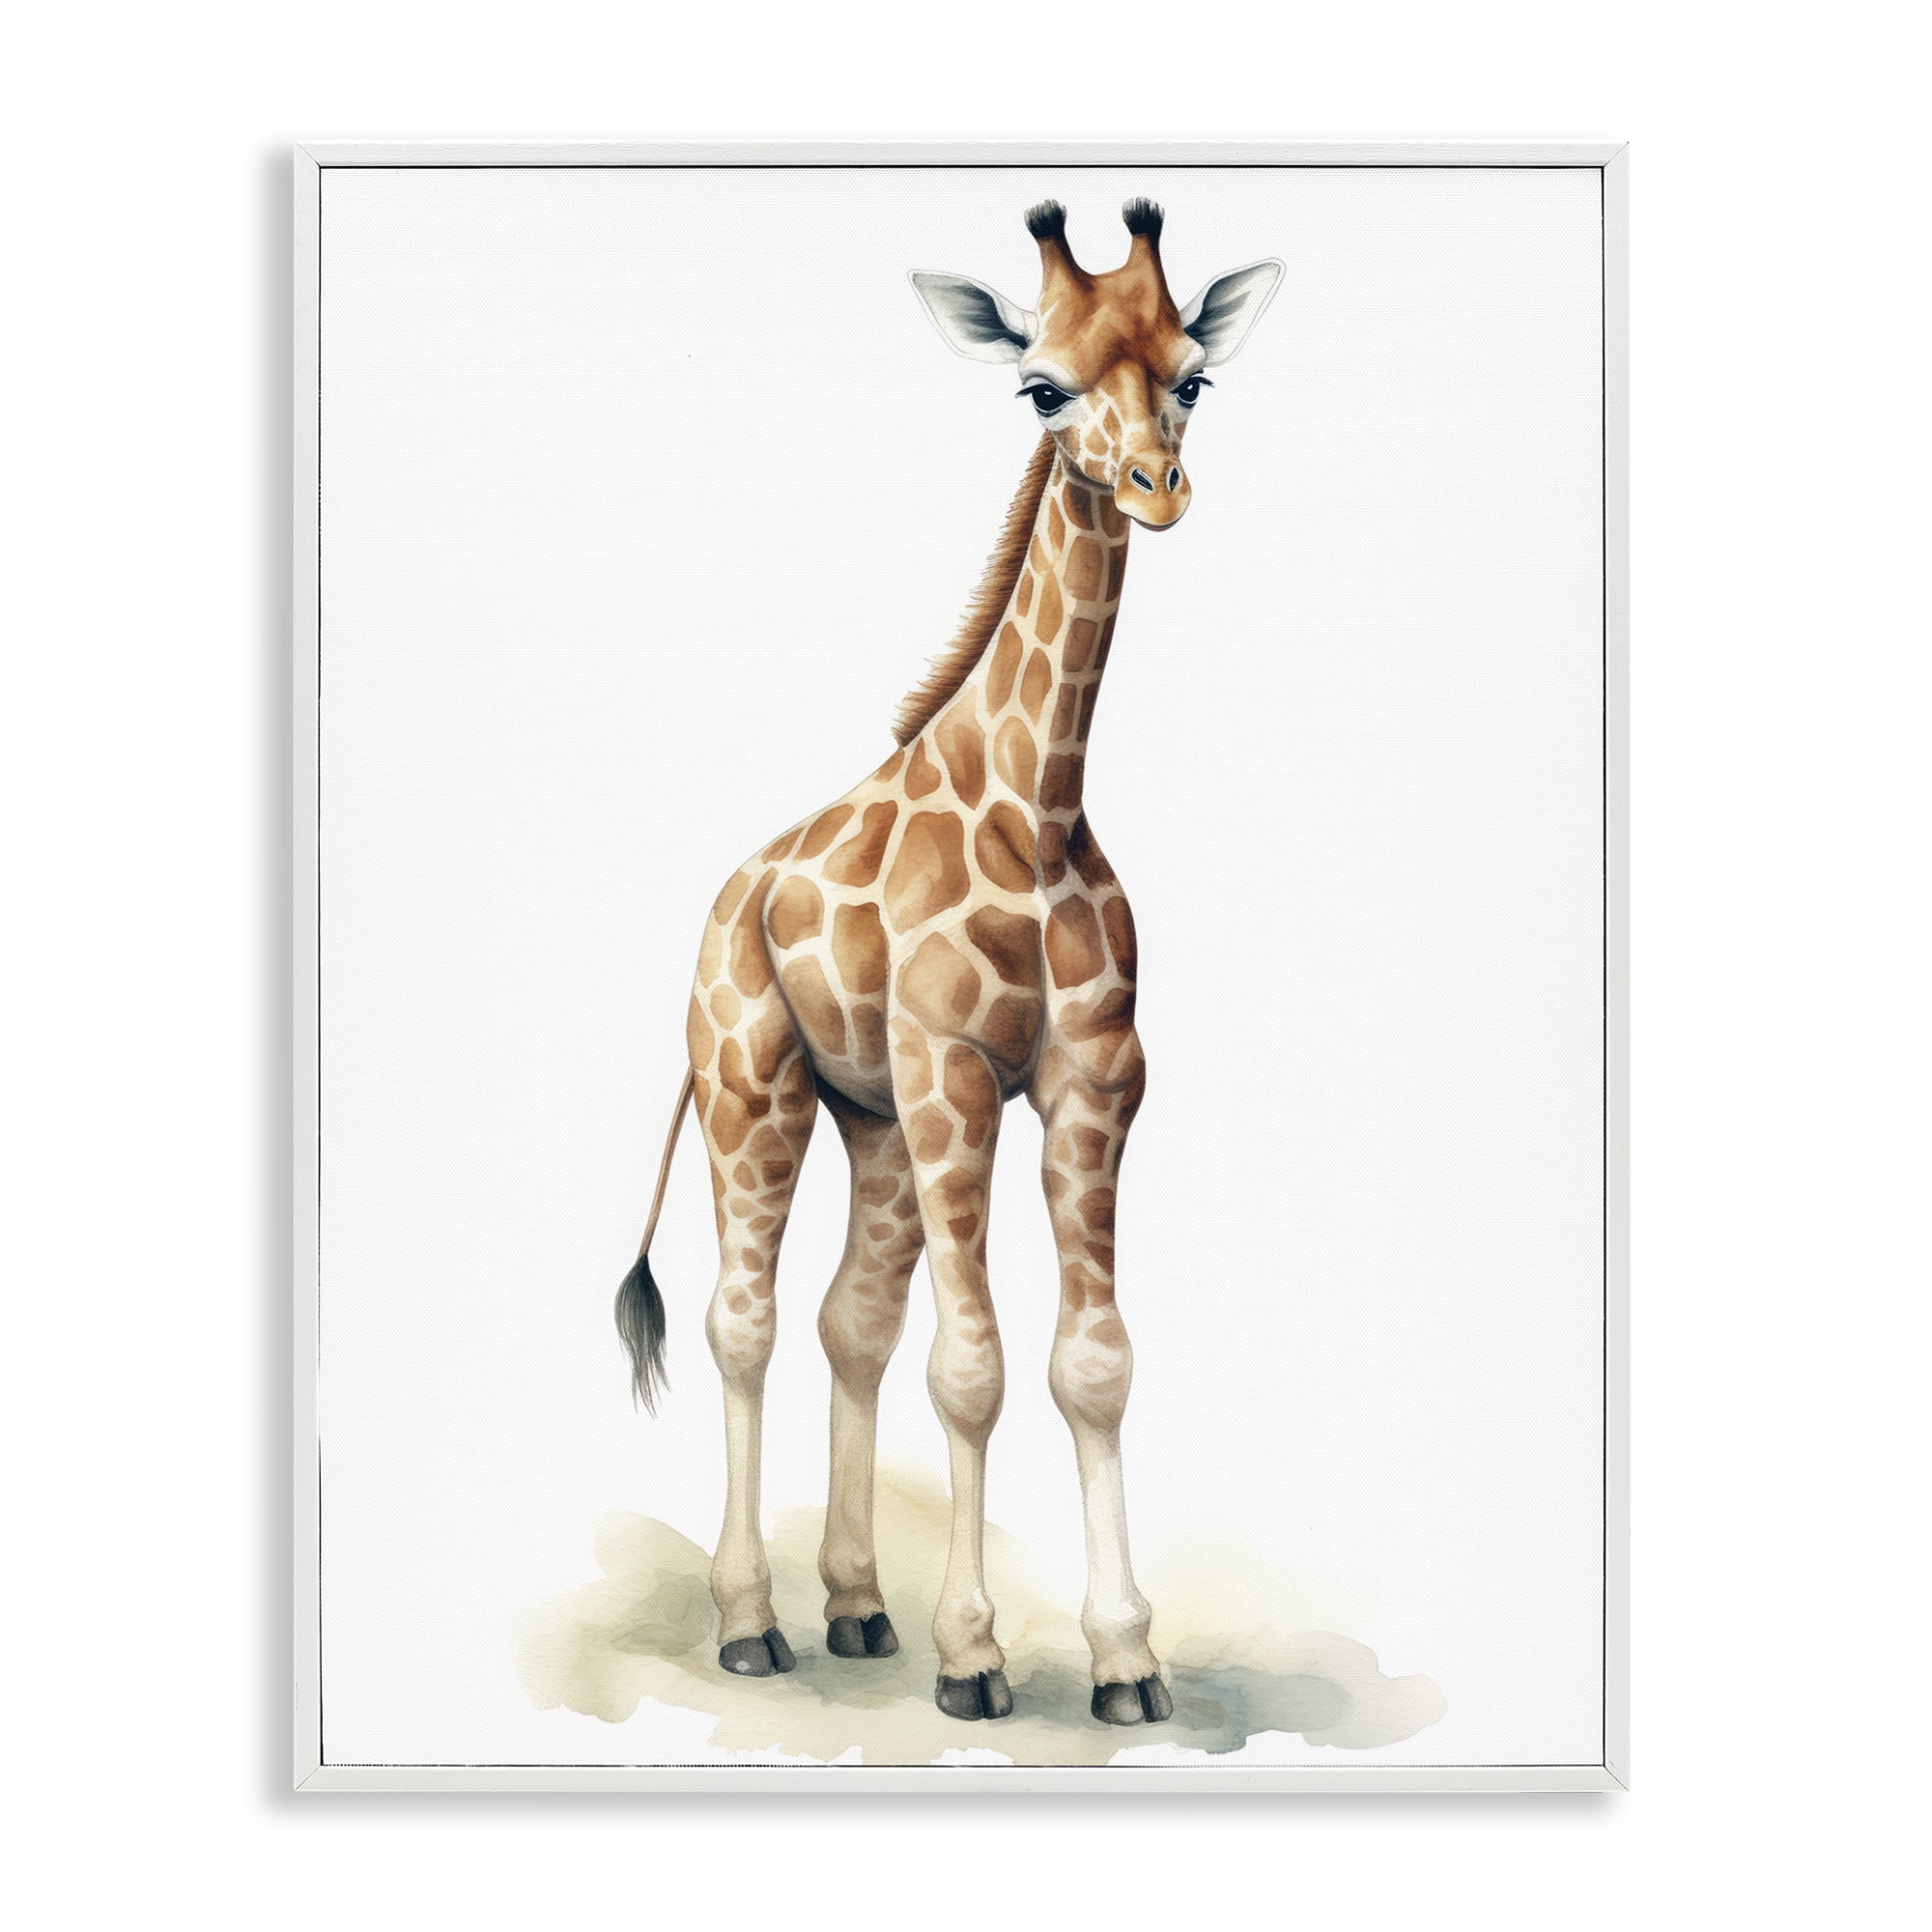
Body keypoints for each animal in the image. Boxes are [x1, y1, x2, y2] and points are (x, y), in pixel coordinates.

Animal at [616, 198, 1282, 1726]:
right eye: (1038, 385)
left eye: (1194, 376)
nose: (1156, 485)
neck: (1035, 805)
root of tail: (725, 898)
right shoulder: (956, 1075)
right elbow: (971, 1367)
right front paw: (975, 1655)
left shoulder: (1094, 1081)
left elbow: (1091, 1362)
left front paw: (1125, 1660)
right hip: (757, 1085)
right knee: (745, 1319)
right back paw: (753, 1623)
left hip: (868, 1120)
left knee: (845, 1319)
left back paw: (857, 1607)